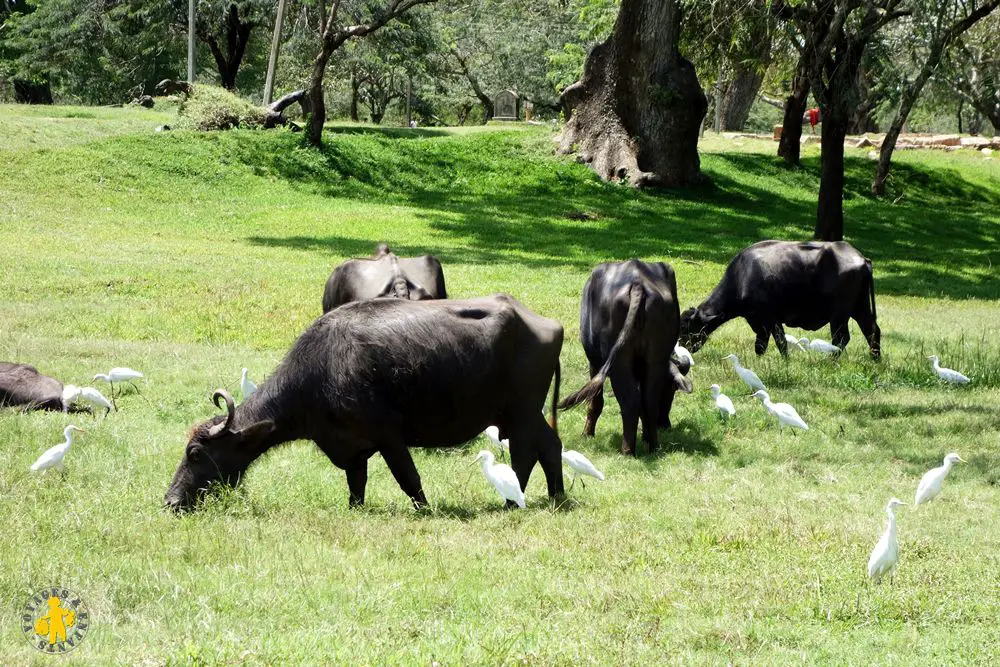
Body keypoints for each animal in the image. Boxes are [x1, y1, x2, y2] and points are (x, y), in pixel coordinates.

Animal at [168, 296, 568, 512]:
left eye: (196, 454)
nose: (171, 502)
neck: (319, 373)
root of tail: (547, 324)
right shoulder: (352, 447)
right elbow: (355, 484)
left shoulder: (390, 437)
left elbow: (409, 479)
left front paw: (424, 509)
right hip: (525, 414)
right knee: (550, 447)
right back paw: (557, 497)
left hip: (521, 413)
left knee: (524, 454)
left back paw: (512, 502)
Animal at [560, 258, 692, 456]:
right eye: (671, 389)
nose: (665, 424)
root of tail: (638, 284)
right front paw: (645, 436)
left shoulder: (594, 363)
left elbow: (595, 402)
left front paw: (587, 433)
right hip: (655, 361)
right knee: (648, 402)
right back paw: (653, 446)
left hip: (618, 363)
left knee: (630, 402)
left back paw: (627, 451)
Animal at [676, 237, 880, 358]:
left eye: (686, 328)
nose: (679, 350)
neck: (743, 275)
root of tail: (862, 259)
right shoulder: (758, 321)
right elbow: (760, 344)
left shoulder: (771, 317)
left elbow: (781, 342)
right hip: (860, 308)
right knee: (872, 331)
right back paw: (875, 359)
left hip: (839, 315)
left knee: (841, 339)